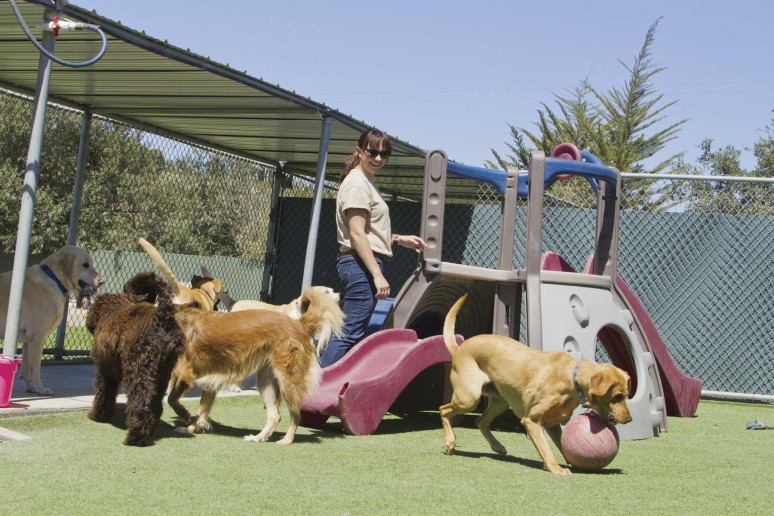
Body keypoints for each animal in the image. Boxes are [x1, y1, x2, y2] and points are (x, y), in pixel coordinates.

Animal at [0, 245, 105, 395]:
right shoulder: (38, 337)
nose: (102, 282)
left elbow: (26, 368)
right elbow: (36, 368)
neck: (54, 279)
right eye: (85, 265)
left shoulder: (27, 340)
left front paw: (31, 387)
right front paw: (40, 388)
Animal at [86, 272, 186, 446]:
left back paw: (135, 436)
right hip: (162, 374)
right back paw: (149, 430)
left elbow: (103, 393)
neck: (111, 310)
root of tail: (162, 317)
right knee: (155, 404)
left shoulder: (104, 370)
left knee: (140, 403)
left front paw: (98, 415)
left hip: (138, 370)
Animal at [167, 286, 344, 445]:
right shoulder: (209, 382)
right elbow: (201, 411)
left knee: (296, 415)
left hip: (287, 381)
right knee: (275, 416)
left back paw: (286, 440)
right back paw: (258, 437)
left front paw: (184, 415)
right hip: (267, 381)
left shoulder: (185, 373)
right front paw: (191, 428)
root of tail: (298, 323)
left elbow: (171, 398)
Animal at [440, 294, 632, 475]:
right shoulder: (531, 420)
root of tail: (459, 348)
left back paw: (497, 446)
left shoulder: (553, 424)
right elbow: (545, 448)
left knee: (480, 421)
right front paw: (556, 468)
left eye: (626, 396)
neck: (571, 378)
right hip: (469, 398)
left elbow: (562, 446)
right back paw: (450, 442)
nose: (629, 419)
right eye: (617, 397)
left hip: (500, 401)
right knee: (444, 410)